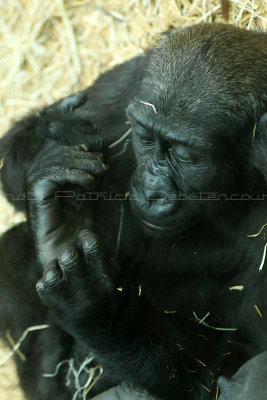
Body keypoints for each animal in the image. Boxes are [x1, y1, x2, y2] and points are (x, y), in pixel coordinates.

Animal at [0, 23, 267, 400]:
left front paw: (99, 311)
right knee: (12, 248)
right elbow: (9, 157)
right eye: (145, 137)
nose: (152, 189)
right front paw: (55, 134)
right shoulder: (134, 79)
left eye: (186, 156)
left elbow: (229, 370)